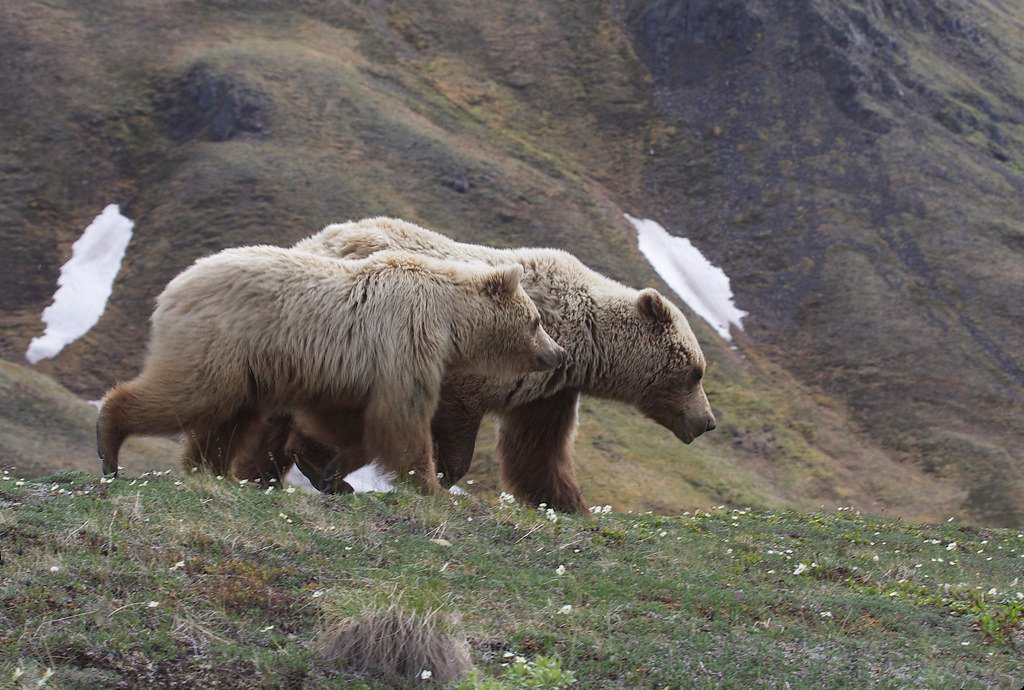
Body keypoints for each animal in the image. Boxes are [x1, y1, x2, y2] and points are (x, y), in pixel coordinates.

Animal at [96, 245, 566, 497]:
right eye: (536, 320)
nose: (558, 354)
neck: (448, 321)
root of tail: (174, 286)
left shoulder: (357, 370)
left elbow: (353, 423)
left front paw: (333, 471)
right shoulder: (407, 341)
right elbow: (402, 419)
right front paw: (430, 486)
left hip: (249, 367)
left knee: (229, 419)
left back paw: (208, 468)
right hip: (220, 343)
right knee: (188, 394)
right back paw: (110, 441)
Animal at [239, 218, 716, 513]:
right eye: (696, 371)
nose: (707, 421)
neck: (581, 341)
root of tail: (314, 240)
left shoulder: (550, 389)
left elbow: (538, 451)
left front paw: (572, 504)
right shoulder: (488, 364)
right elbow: (455, 429)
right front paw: (433, 476)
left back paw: (260, 470)